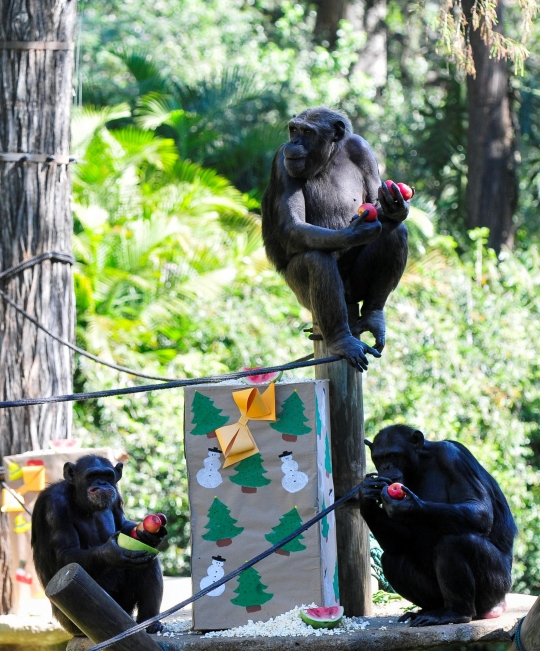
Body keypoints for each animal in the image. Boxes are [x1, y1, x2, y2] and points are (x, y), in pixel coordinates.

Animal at [31, 456, 167, 636]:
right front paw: (110, 553)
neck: (80, 501)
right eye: (92, 475)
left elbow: (122, 524)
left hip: (125, 608)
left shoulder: (116, 498)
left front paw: (150, 535)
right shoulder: (54, 505)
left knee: (149, 562)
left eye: (107, 475)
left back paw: (150, 622)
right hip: (72, 623)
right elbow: (65, 552)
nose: (102, 483)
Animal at [262, 106, 410, 372]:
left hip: (357, 287)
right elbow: (292, 224)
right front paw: (354, 232)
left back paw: (373, 316)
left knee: (396, 233)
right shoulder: (281, 161)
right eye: (294, 129)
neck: (328, 158)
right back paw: (342, 340)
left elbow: (376, 201)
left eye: (307, 132)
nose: (294, 142)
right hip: (301, 295)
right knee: (316, 259)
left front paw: (395, 207)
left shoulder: (362, 149)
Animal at [358, 426, 516, 628]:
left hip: (497, 587)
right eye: (378, 458)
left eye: (393, 455)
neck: (419, 465)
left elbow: (479, 508)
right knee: (392, 558)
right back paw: (428, 610)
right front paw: (366, 496)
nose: (385, 467)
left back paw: (456, 613)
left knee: (456, 543)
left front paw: (409, 505)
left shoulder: (454, 459)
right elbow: (404, 540)